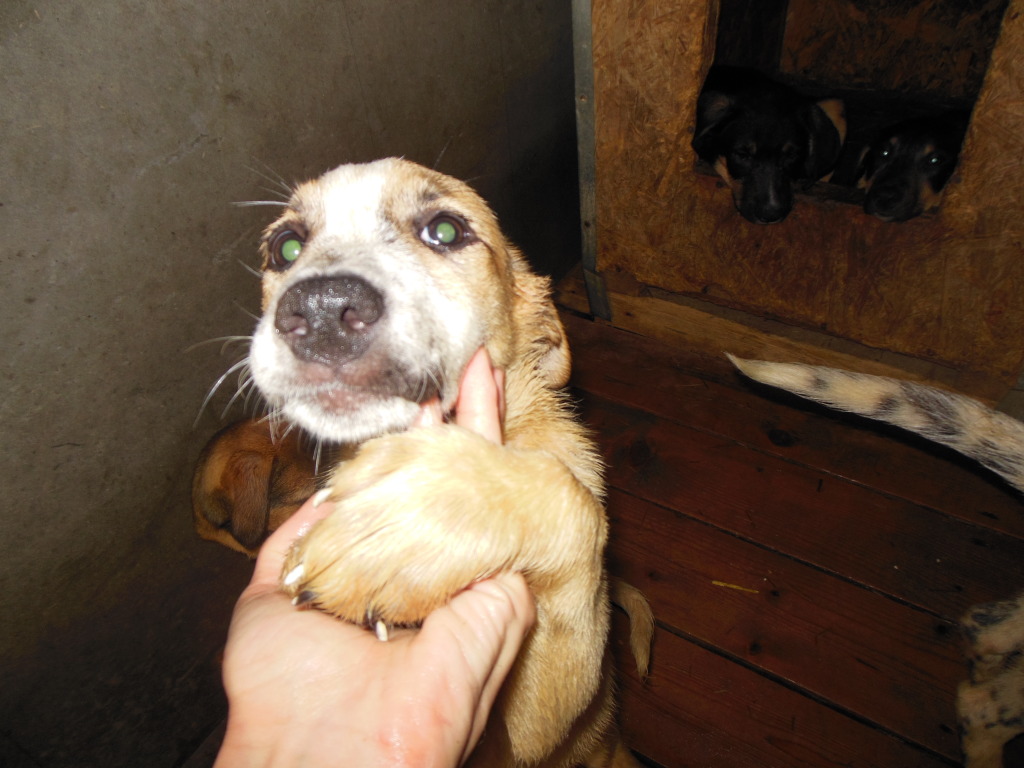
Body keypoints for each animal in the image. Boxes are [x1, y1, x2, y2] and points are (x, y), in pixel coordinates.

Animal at [194, 159, 651, 765]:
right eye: (285, 247)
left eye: (446, 230)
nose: (320, 309)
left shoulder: (544, 721)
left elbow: (573, 501)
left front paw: (403, 531)